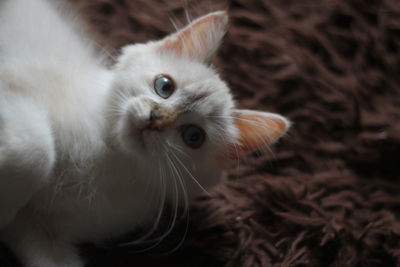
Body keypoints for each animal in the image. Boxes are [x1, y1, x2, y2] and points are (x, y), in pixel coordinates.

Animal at [0, 0, 290, 267]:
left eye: (193, 137)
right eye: (164, 86)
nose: (155, 119)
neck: (109, 158)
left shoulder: (41, 232)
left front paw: (5, 210)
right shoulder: (13, 84)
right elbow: (37, 150)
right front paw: (7, 204)